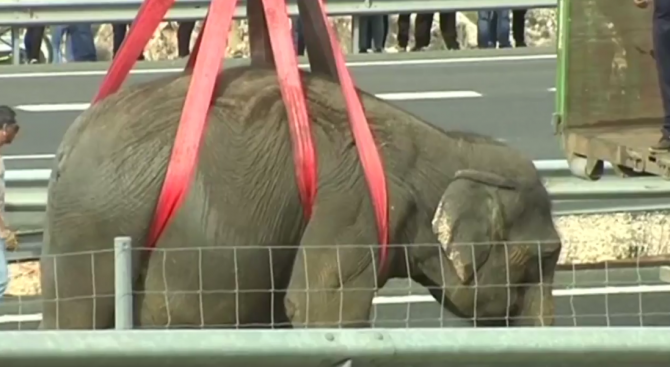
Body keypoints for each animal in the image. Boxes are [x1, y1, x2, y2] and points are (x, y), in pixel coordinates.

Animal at [39, 65, 564, 330]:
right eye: (544, 256)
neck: (445, 142)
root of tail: (68, 143)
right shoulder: (352, 208)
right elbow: (322, 310)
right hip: (95, 222)